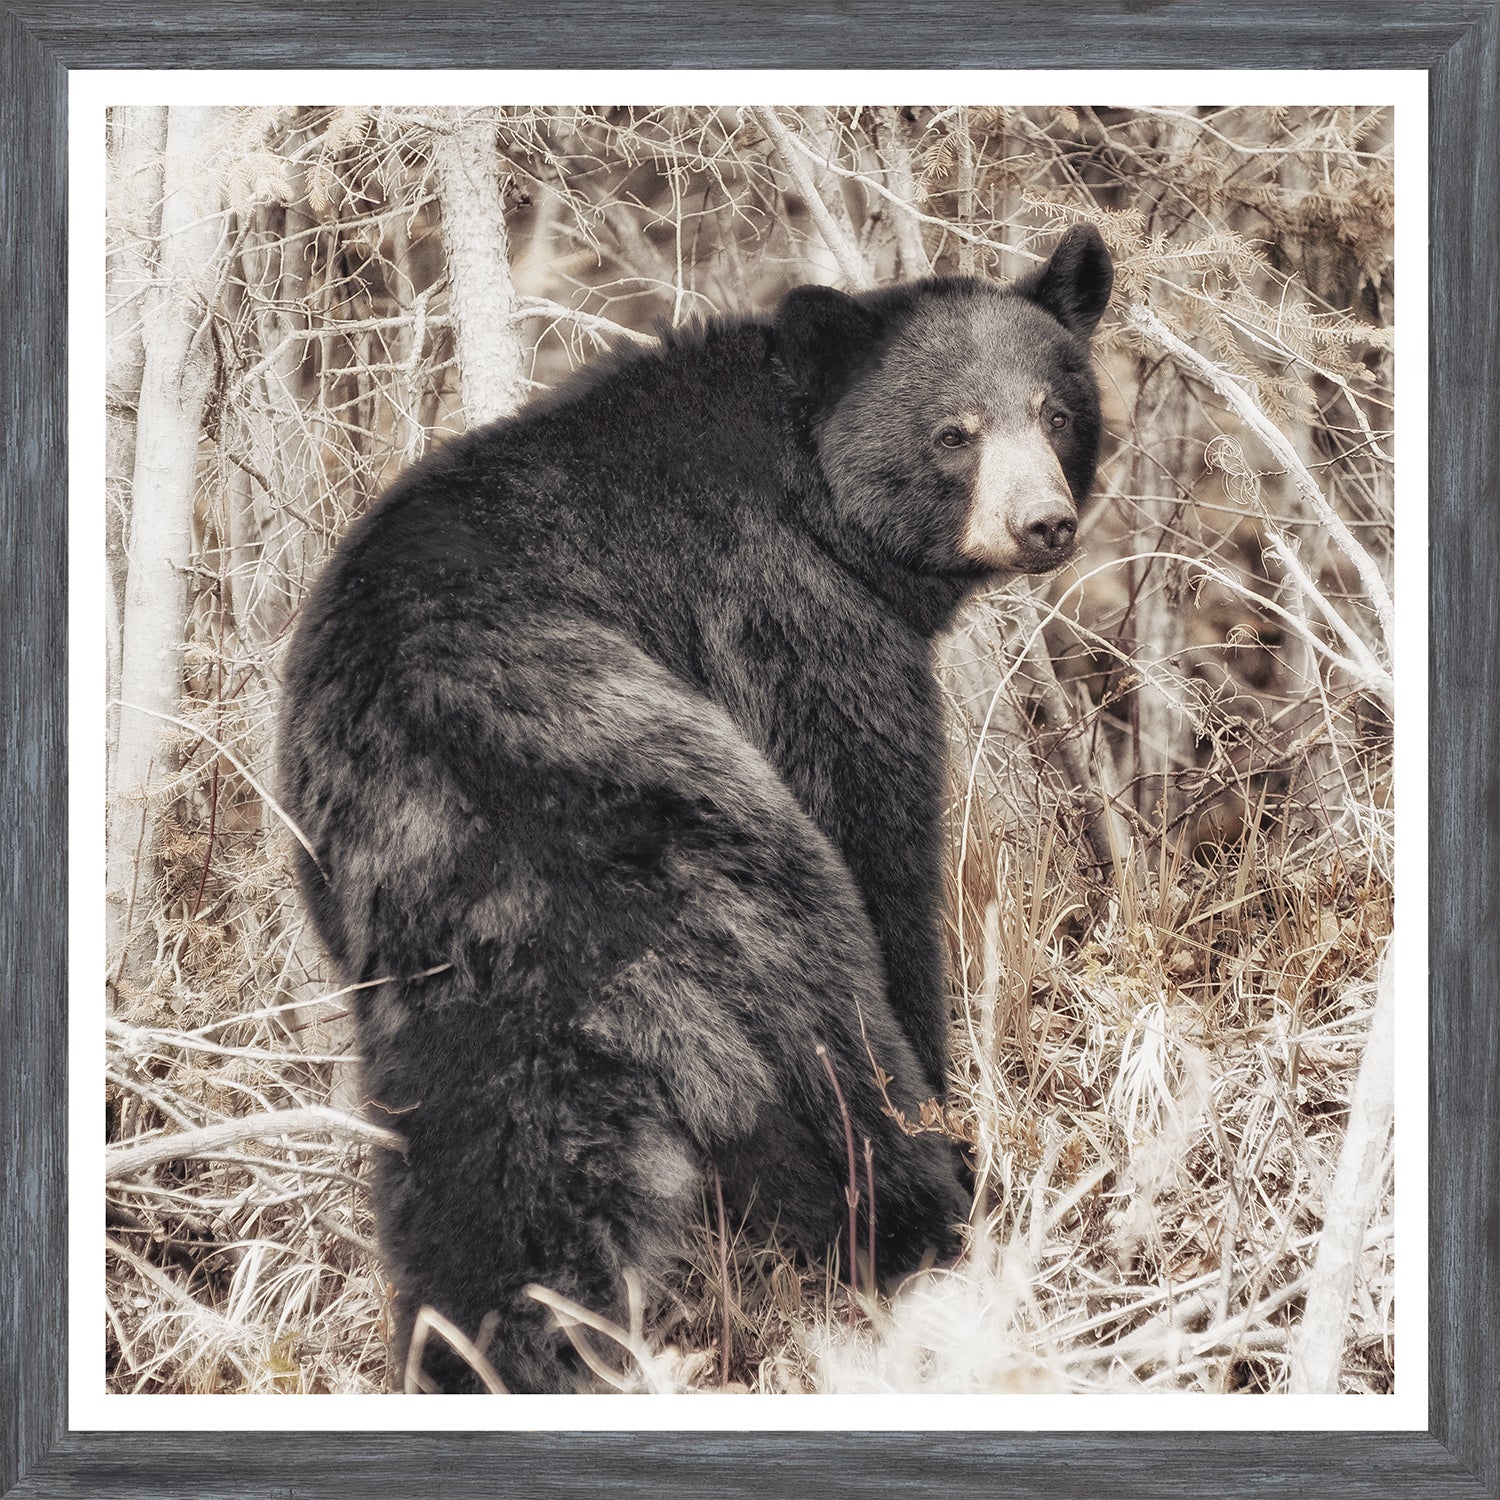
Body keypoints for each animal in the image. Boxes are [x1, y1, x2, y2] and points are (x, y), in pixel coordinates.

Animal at [277, 223, 1114, 1393]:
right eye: (955, 432)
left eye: (1054, 411)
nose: (1042, 523)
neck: (815, 491)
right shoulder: (788, 614)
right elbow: (874, 823)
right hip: (725, 869)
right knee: (826, 1055)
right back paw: (933, 1215)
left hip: (428, 974)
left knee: (489, 1178)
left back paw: (481, 1355)